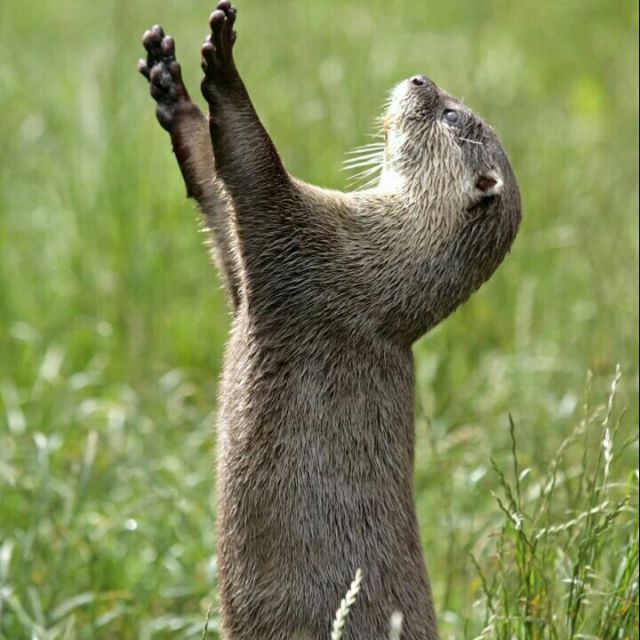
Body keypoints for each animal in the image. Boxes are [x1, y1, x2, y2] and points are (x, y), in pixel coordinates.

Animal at [138, 4, 521, 639]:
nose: (419, 77)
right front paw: (170, 86)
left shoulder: (308, 243)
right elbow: (216, 194)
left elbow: (252, 164)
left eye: (450, 114)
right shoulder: (261, 273)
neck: (380, 264)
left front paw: (224, 67)